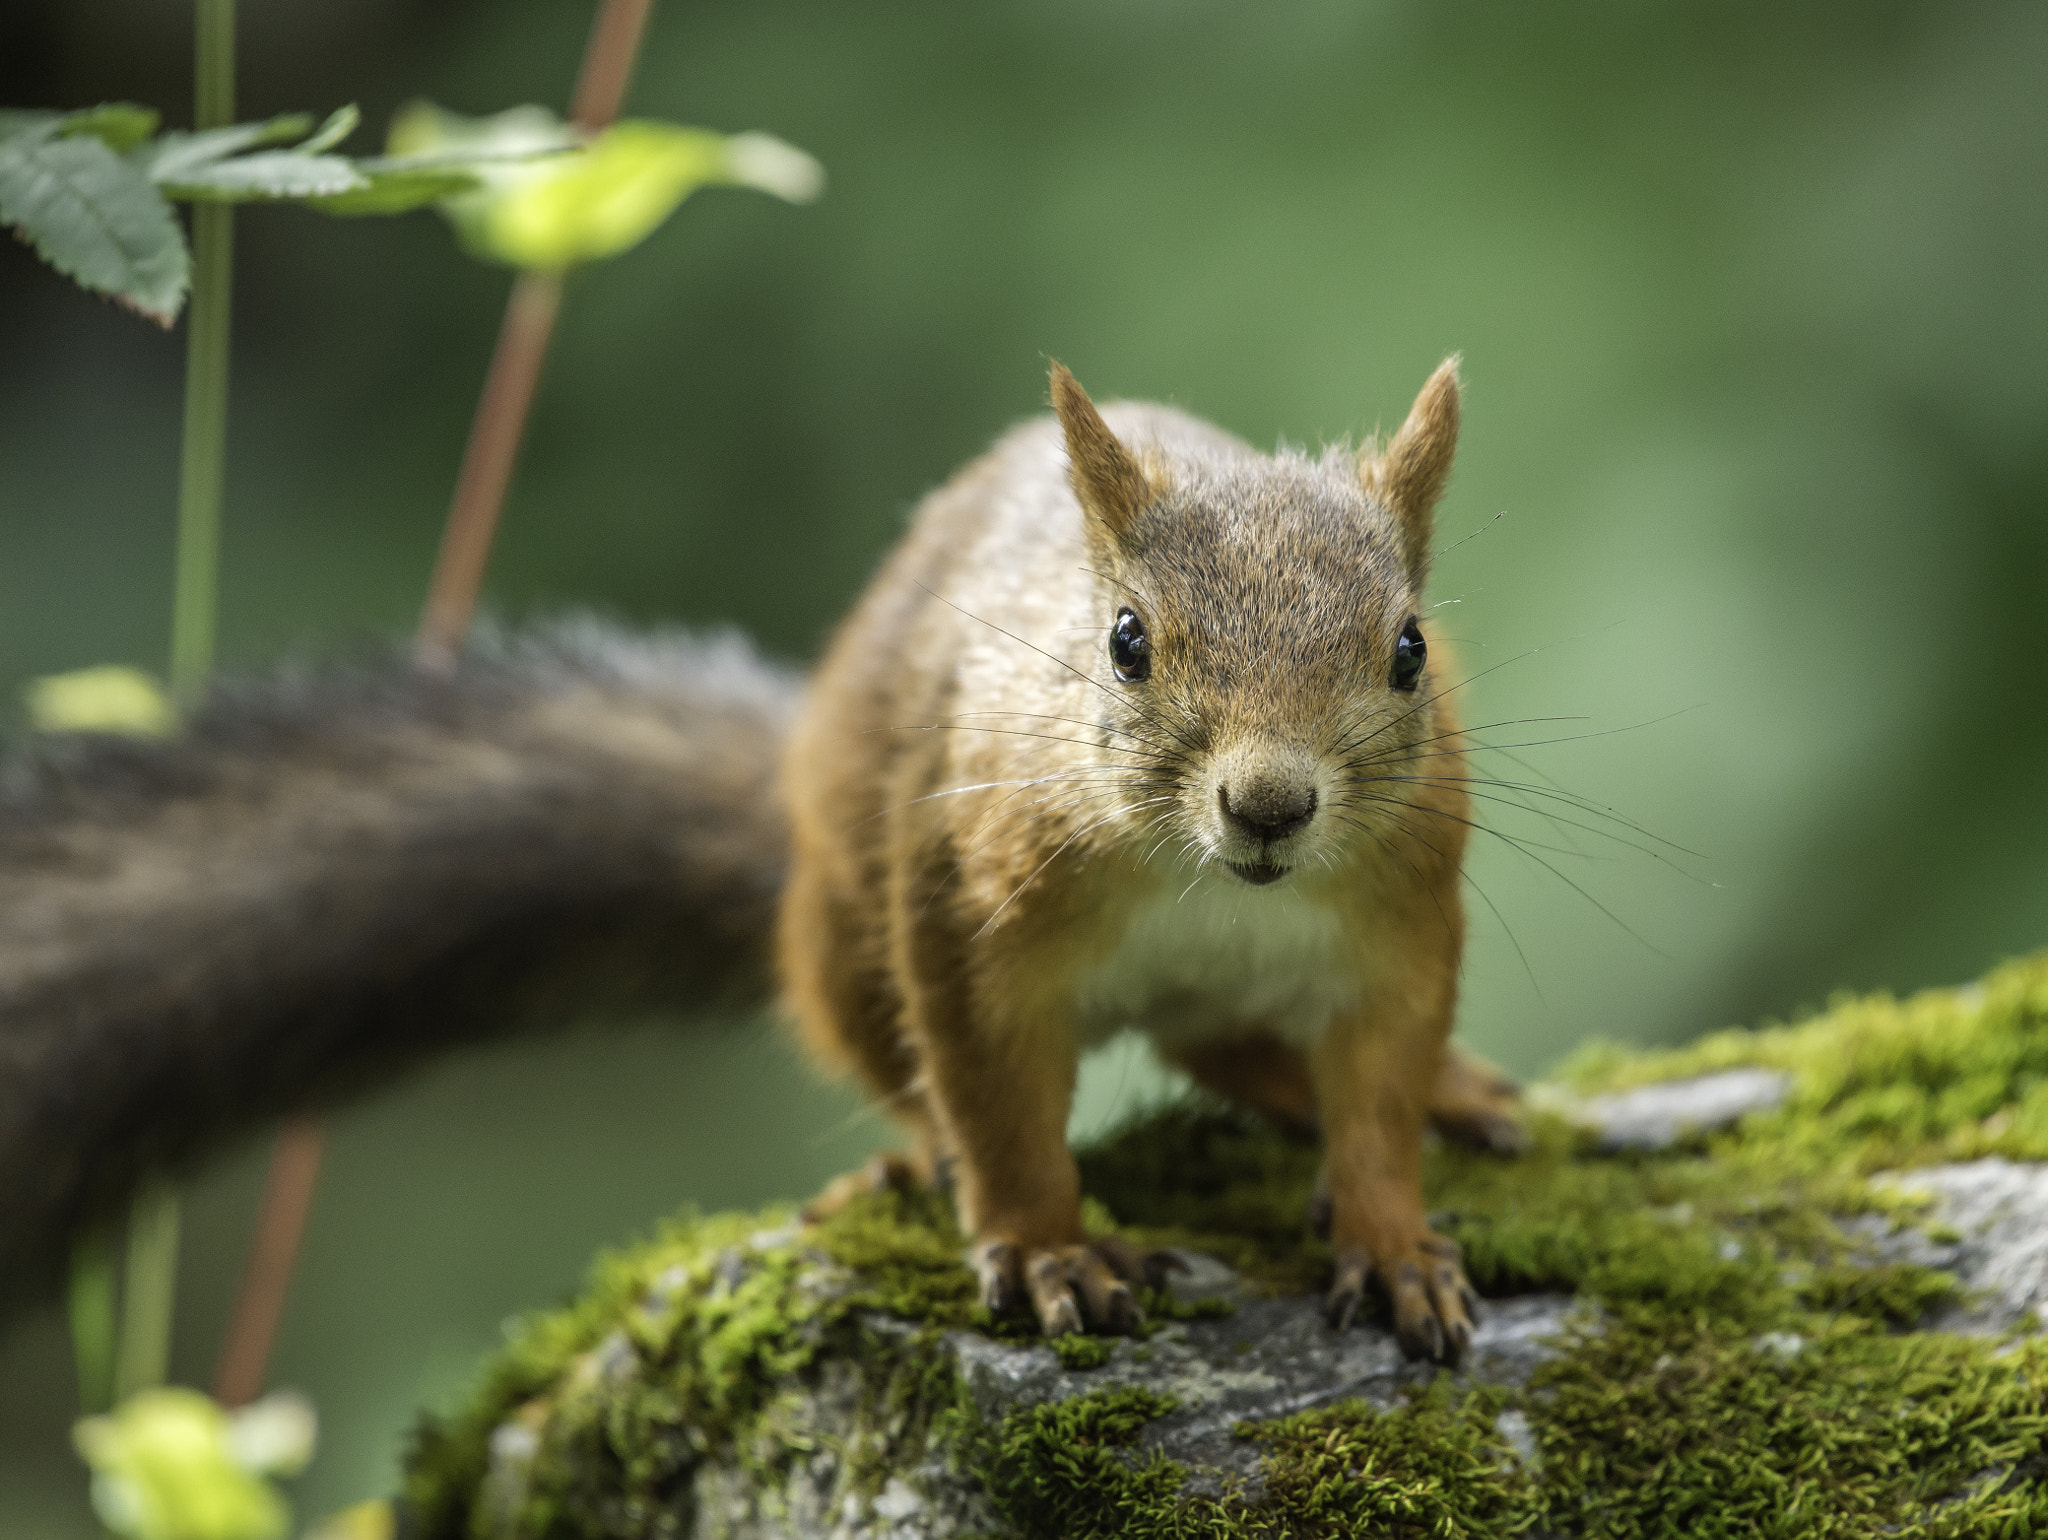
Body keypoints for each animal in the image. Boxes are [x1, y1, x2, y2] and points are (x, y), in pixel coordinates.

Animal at [0, 362, 1519, 1364]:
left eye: (1409, 648)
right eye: (1127, 641)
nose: (1269, 805)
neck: (1208, 887)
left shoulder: (1399, 933)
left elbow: (1376, 1088)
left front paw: (1394, 1240)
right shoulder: (963, 904)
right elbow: (994, 1092)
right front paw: (1046, 1246)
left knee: (1224, 1047)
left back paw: (1443, 1095)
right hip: (843, 941)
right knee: (925, 1068)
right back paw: (914, 1165)